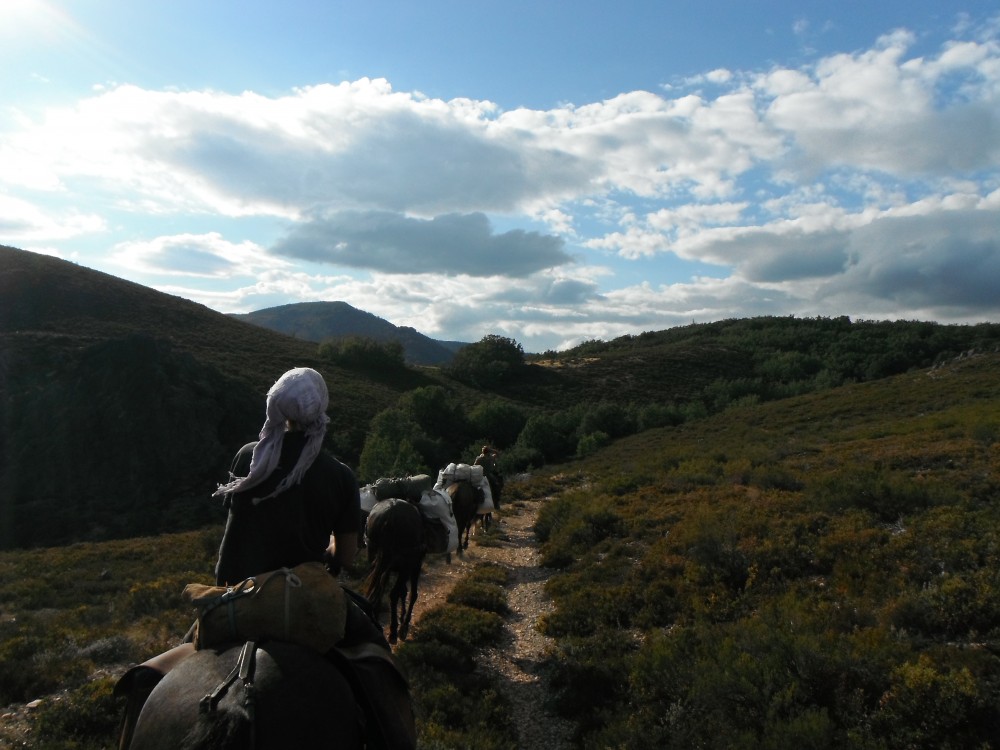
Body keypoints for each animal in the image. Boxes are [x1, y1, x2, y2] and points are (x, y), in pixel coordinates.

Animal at [366, 500, 424, 648]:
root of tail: (391, 513)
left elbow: (399, 591)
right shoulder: (414, 566)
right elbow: (411, 594)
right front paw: (404, 625)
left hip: (375, 555)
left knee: (378, 586)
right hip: (406, 564)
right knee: (392, 594)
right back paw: (393, 632)